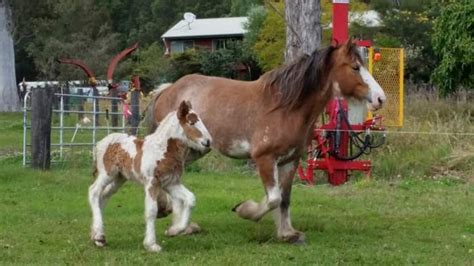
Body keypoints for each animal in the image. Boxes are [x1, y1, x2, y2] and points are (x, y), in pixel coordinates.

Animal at [89, 101, 211, 252]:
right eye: (192, 122)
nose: (208, 141)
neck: (162, 150)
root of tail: (100, 143)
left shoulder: (171, 183)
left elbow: (190, 199)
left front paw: (174, 230)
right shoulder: (152, 183)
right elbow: (152, 211)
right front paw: (151, 244)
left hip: (119, 178)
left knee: (103, 196)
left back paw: (97, 237)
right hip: (107, 174)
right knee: (94, 192)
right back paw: (99, 236)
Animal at [143, 41, 386, 243]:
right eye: (355, 67)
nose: (380, 98)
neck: (286, 107)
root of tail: (168, 89)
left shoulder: (289, 161)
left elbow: (285, 198)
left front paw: (287, 233)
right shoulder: (265, 159)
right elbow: (273, 199)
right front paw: (245, 210)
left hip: (194, 150)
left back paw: (182, 226)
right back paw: (173, 219)